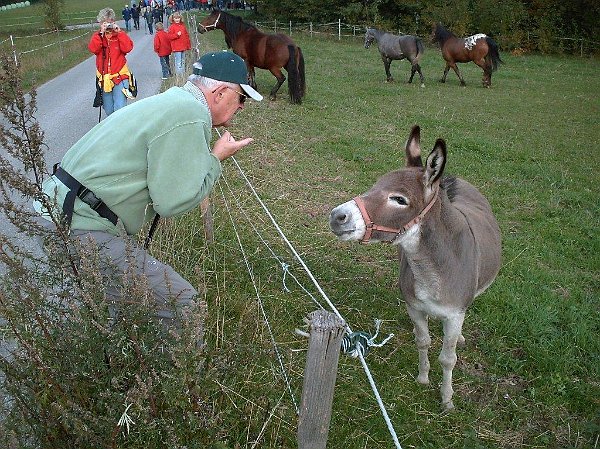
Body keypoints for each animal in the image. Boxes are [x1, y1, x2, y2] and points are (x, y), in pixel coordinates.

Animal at [328, 126, 502, 410]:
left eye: (399, 199)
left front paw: (446, 399)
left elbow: (448, 358)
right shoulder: (414, 307)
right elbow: (423, 342)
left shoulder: (454, 315)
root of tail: (453, 179)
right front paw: (422, 377)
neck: (431, 270)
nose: (337, 216)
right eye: (375, 185)